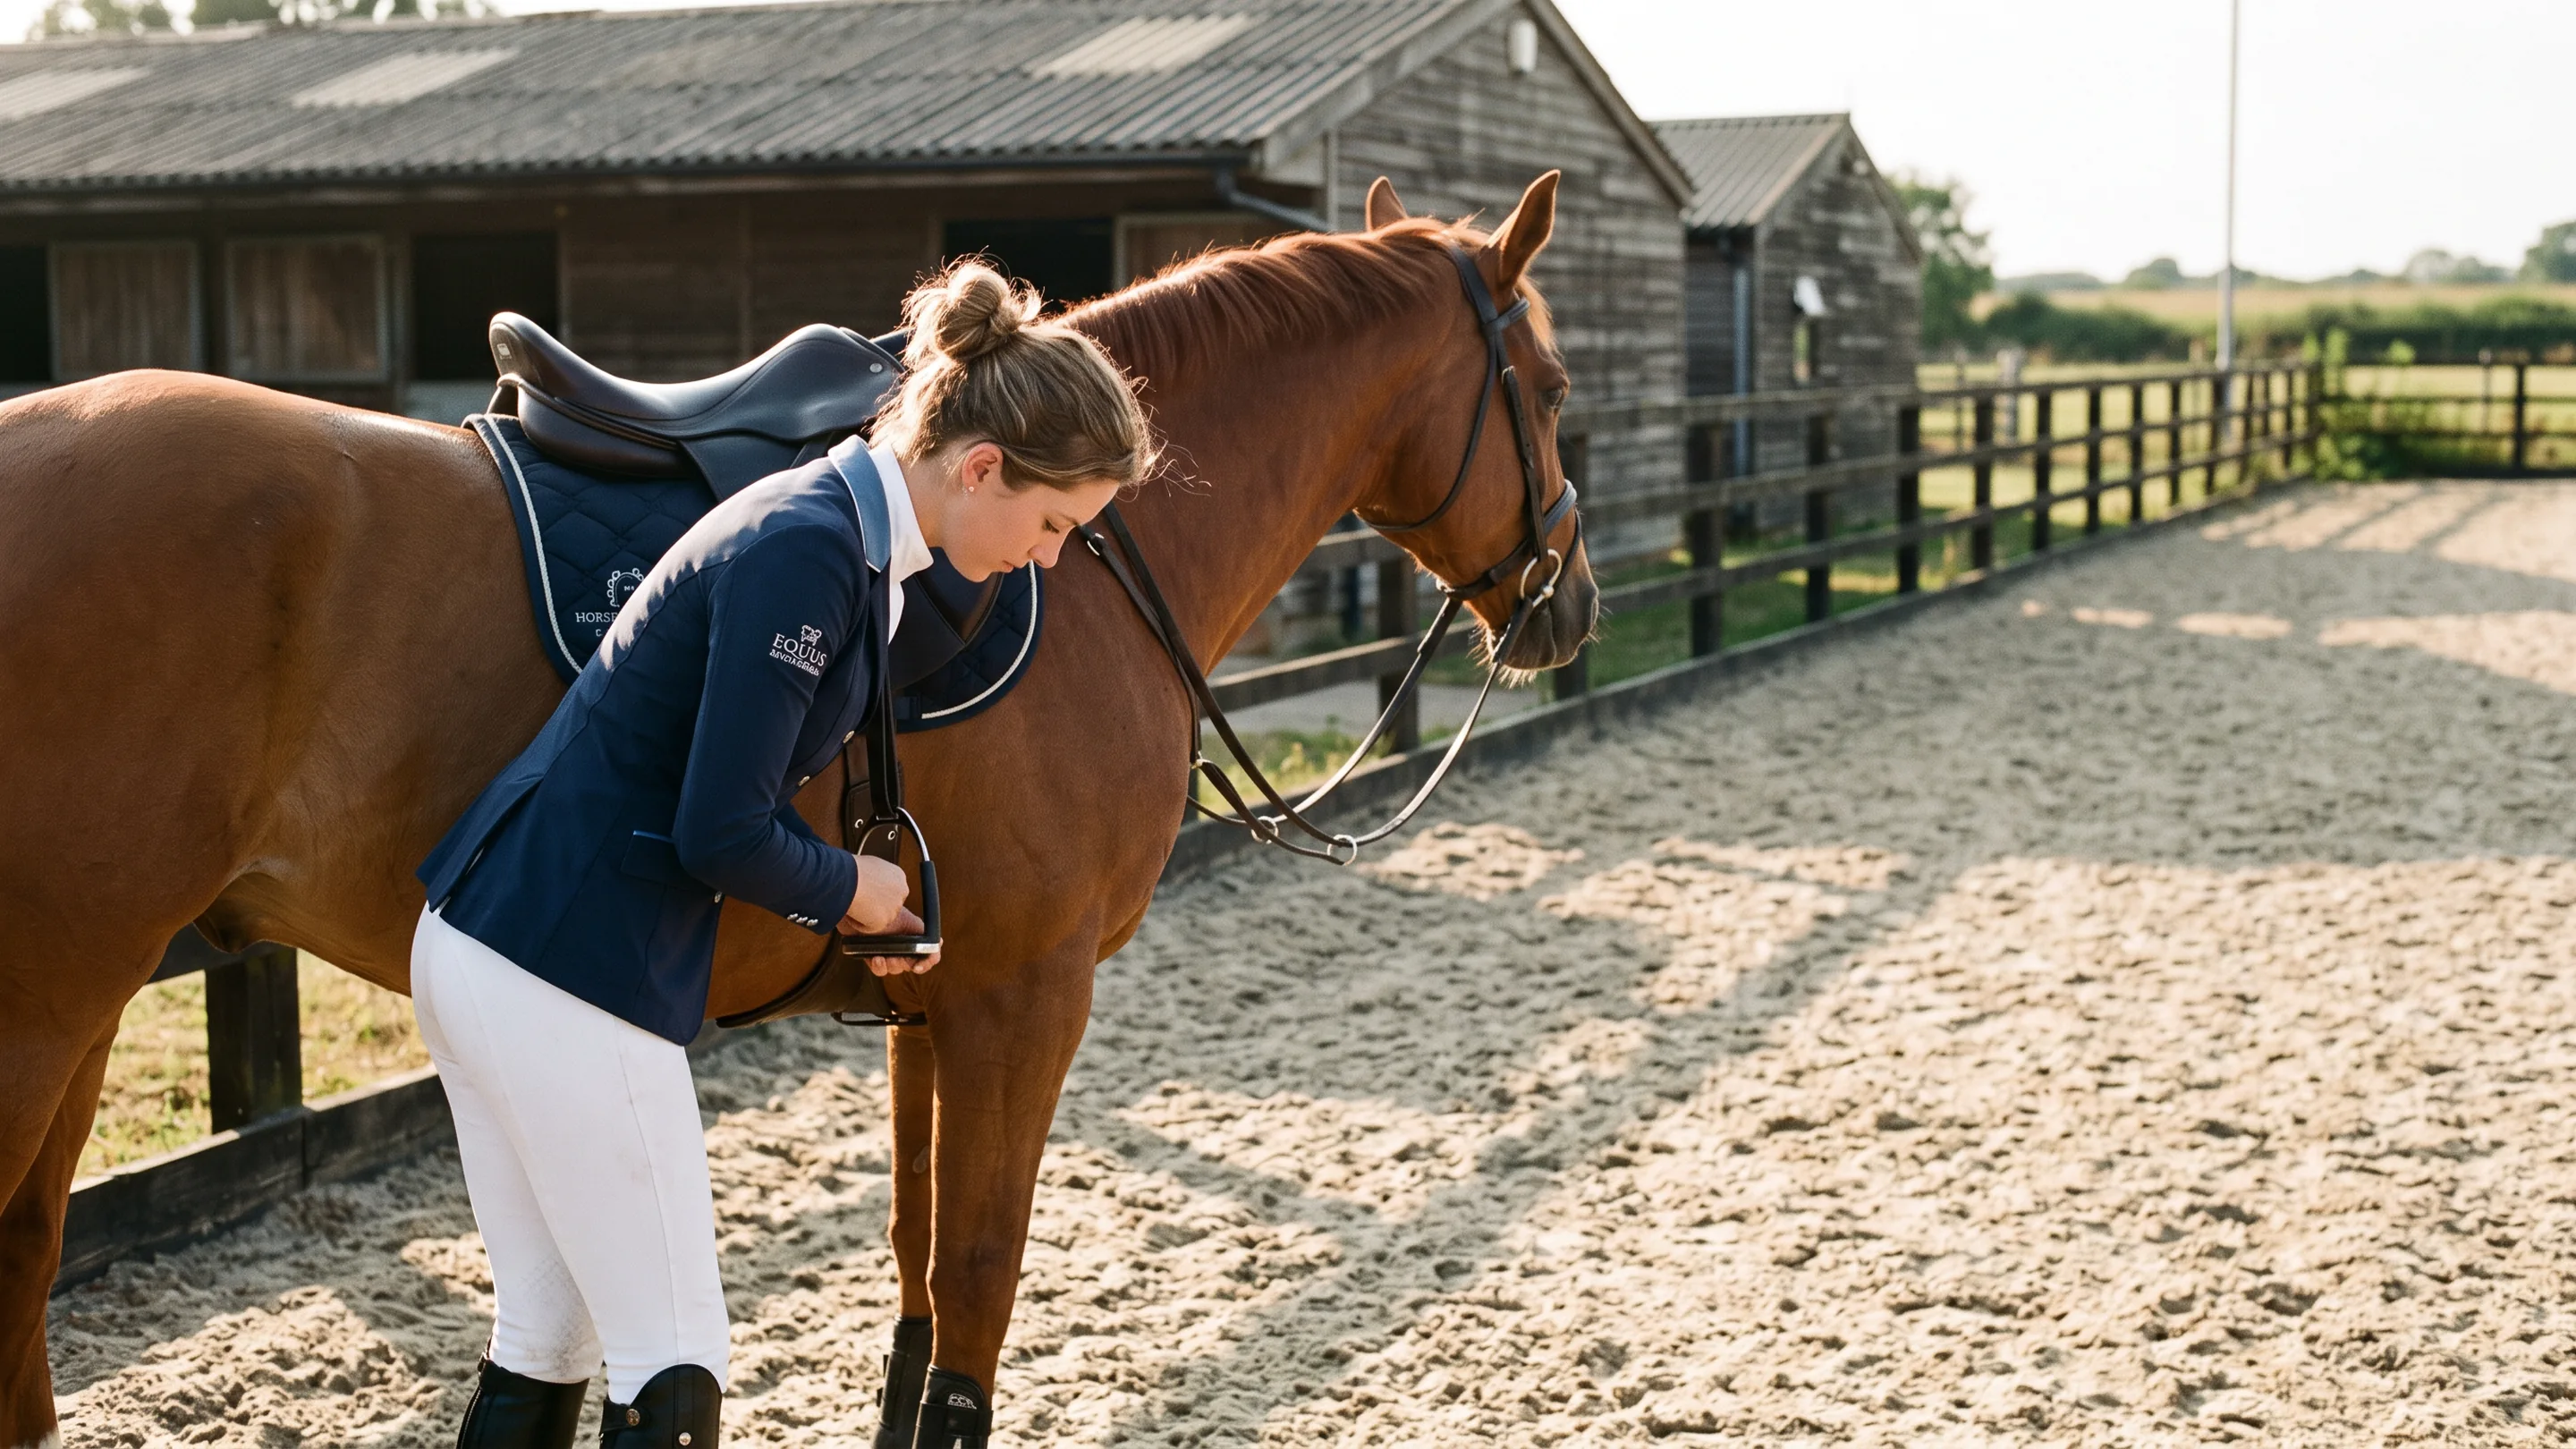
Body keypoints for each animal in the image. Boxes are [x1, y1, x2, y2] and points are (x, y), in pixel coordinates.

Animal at [0, 171, 1595, 1445]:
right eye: (1555, 387)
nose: (1568, 604)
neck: (1072, 566)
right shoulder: (1027, 996)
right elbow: (977, 1284)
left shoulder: (933, 1000)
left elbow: (910, 1274)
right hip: (52, 996)